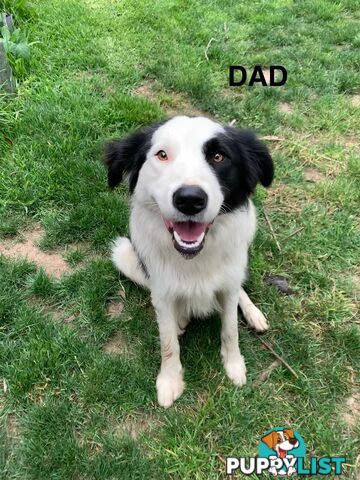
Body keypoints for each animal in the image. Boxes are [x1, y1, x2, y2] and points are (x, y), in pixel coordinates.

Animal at [104, 114, 272, 406]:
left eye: (218, 156)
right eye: (162, 154)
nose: (190, 200)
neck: (194, 258)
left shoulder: (228, 285)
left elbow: (230, 328)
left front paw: (234, 366)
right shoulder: (161, 292)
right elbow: (168, 342)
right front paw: (170, 381)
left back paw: (253, 314)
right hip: (124, 254)